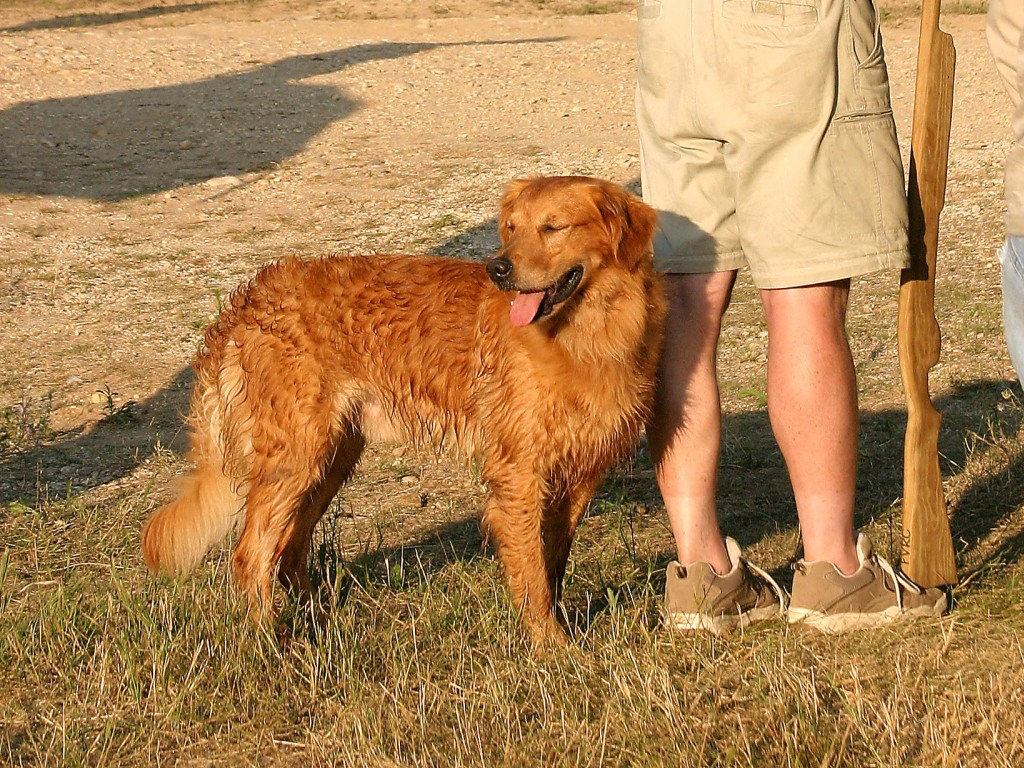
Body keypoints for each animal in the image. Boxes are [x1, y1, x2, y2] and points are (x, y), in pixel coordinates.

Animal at [144, 176, 667, 643]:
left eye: (553, 227)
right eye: (511, 227)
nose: (497, 269)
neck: (585, 335)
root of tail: (245, 303)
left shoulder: (578, 474)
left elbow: (553, 565)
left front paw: (560, 634)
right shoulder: (518, 472)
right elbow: (533, 577)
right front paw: (551, 649)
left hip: (330, 460)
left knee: (289, 550)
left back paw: (319, 627)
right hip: (296, 457)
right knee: (251, 556)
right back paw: (269, 642)